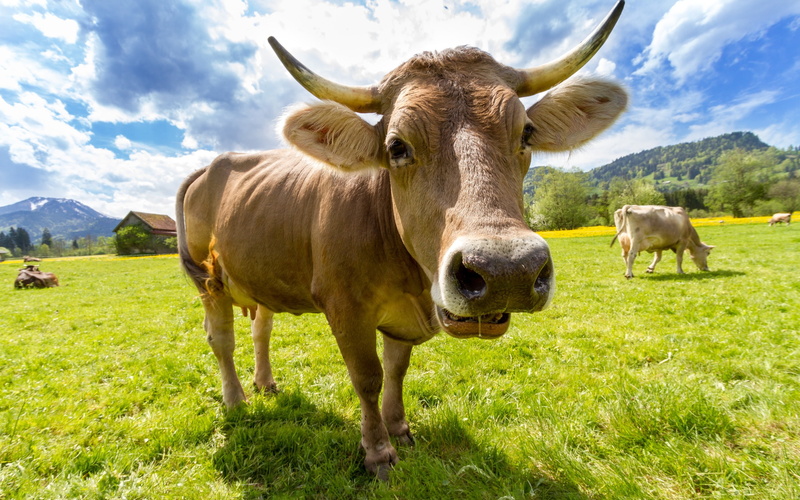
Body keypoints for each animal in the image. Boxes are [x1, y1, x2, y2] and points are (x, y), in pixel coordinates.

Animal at [177, 1, 628, 478]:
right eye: (396, 146)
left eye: (526, 133)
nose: (507, 271)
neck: (410, 280)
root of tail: (214, 164)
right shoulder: (344, 307)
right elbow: (367, 377)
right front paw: (378, 450)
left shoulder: (400, 320)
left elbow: (396, 370)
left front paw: (400, 429)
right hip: (209, 281)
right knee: (221, 339)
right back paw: (236, 399)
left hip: (260, 274)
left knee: (261, 328)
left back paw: (265, 383)